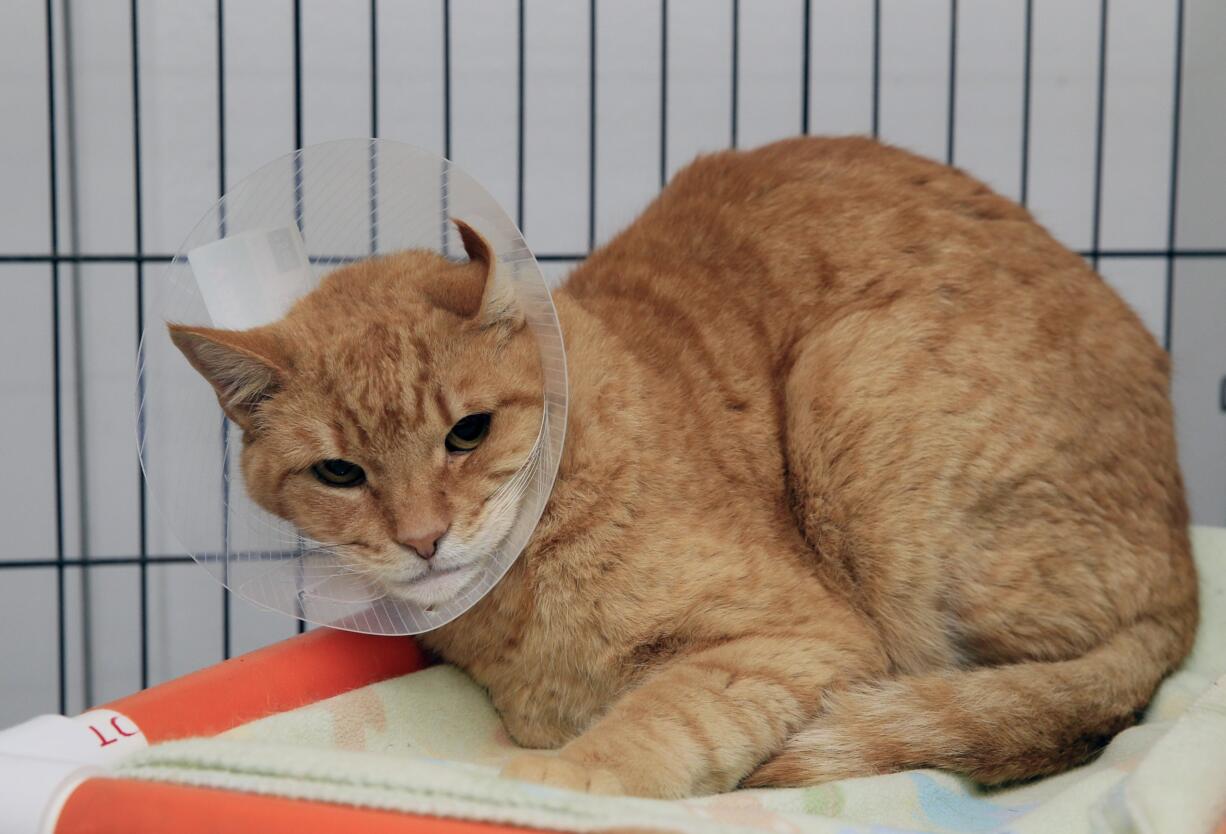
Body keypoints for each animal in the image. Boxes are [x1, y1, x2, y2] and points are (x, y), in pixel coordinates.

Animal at [170, 138, 1196, 799]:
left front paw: (561, 779)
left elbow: (662, 717)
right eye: (340, 474)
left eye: (468, 433)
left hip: (857, 396)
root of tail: (1187, 571)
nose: (423, 540)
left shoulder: (797, 636)